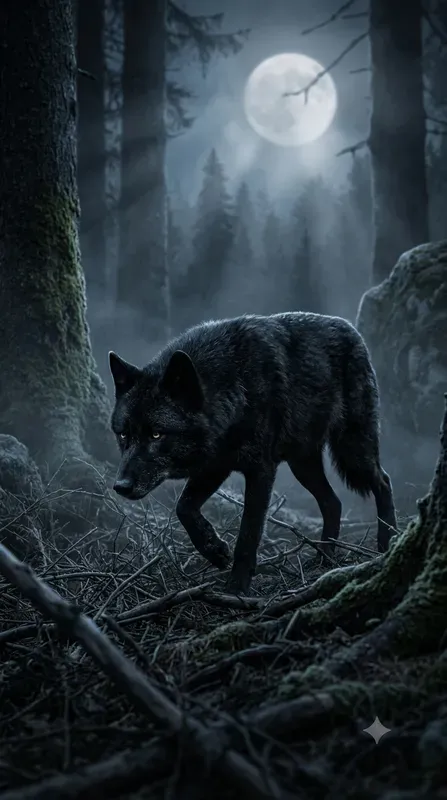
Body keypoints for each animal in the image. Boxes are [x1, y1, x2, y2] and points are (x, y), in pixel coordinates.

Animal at [109, 312, 397, 595]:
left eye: (156, 435)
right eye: (123, 435)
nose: (120, 486)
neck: (234, 386)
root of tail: (349, 327)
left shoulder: (260, 471)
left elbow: (248, 533)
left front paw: (236, 587)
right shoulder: (215, 465)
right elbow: (184, 507)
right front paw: (214, 550)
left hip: (352, 450)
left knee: (383, 481)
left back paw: (388, 543)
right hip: (303, 465)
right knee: (333, 502)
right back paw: (324, 558)